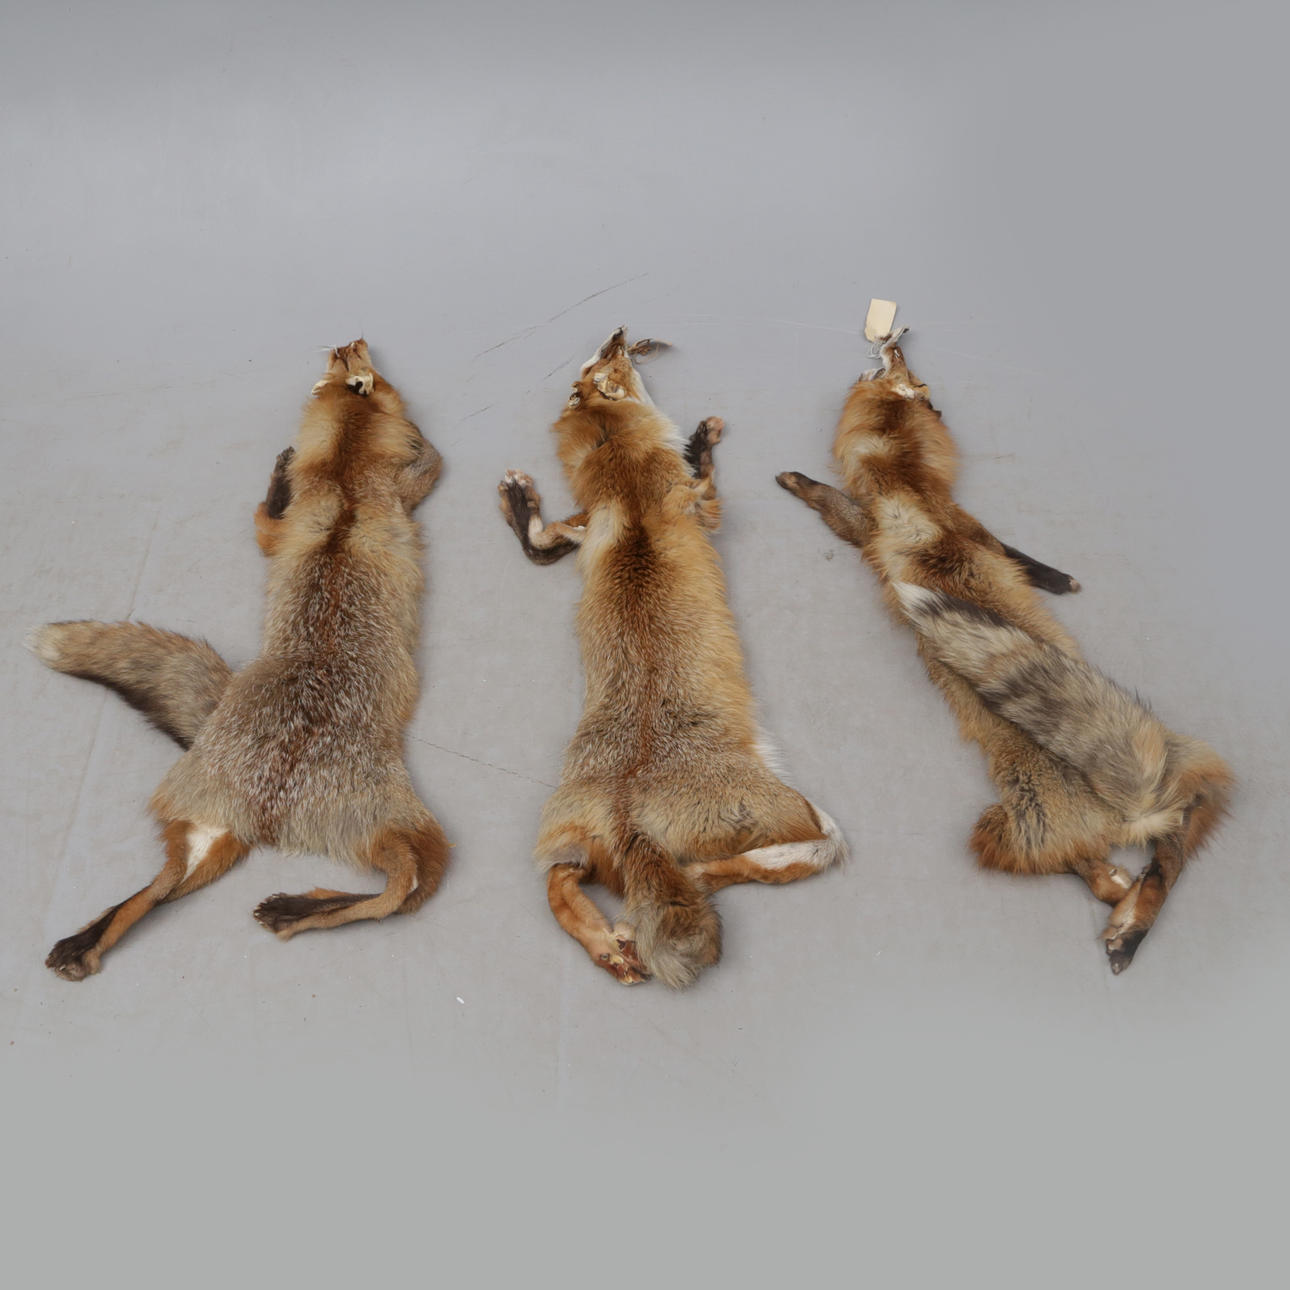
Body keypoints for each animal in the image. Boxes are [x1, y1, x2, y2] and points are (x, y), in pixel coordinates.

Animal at [29, 340, 450, 979]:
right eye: (349, 365)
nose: (348, 341)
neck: (346, 485)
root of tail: (269, 809)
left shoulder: (302, 524)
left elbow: (267, 521)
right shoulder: (391, 498)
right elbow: (424, 465)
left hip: (238, 827)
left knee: (171, 882)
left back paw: (94, 942)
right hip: (395, 820)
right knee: (403, 887)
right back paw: (290, 912)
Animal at [496, 326, 846, 988]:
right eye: (603, 365)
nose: (617, 332)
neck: (631, 499)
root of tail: (633, 819)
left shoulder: (589, 524)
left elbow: (542, 542)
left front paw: (521, 504)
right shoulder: (700, 506)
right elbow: (705, 481)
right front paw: (701, 440)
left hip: (567, 828)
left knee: (557, 885)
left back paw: (609, 946)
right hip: (798, 808)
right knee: (810, 850)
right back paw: (687, 890)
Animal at [777, 328, 1231, 973]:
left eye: (909, 370)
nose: (897, 335)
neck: (907, 483)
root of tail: (1128, 812)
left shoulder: (875, 526)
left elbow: (838, 505)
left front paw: (797, 482)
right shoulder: (950, 526)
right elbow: (1014, 555)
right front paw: (1060, 580)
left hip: (1006, 824)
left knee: (1125, 868)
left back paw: (1124, 914)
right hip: (1109, 818)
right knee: (1143, 872)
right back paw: (1126, 921)